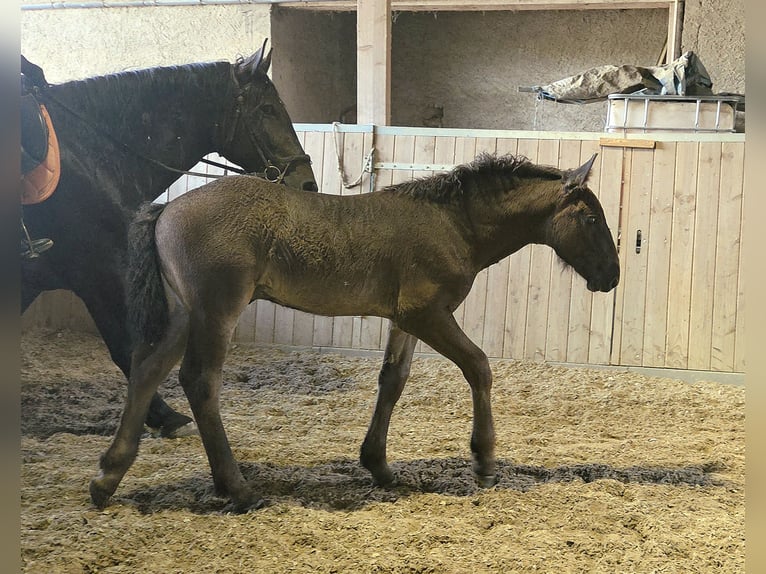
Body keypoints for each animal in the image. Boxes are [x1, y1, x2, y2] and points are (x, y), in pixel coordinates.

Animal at [20, 42, 318, 437]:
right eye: (268, 108)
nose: (307, 184)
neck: (93, 153)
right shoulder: (101, 271)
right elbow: (125, 346)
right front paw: (166, 416)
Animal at [89, 152, 620, 510]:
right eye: (592, 217)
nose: (612, 276)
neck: (454, 223)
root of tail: (164, 210)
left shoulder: (406, 319)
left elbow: (393, 380)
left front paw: (379, 465)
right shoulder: (428, 314)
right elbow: (479, 367)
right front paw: (485, 461)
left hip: (184, 313)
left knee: (147, 369)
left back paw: (107, 477)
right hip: (216, 310)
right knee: (198, 380)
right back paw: (236, 488)